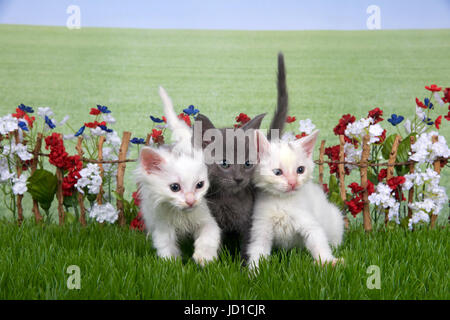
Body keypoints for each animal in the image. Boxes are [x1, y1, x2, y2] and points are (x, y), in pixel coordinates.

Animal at [136, 87, 222, 264]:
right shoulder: (162, 226)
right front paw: (171, 263)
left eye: (200, 185)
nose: (190, 201)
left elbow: (209, 237)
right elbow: (165, 246)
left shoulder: (207, 219)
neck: (181, 216)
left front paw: (204, 258)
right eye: (175, 187)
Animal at [193, 52, 288, 260]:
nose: (238, 179)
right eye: (224, 163)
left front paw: (243, 264)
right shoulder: (213, 218)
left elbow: (248, 244)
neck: (227, 200)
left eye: (247, 163)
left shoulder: (248, 222)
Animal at [246, 129, 344, 270]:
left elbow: (318, 242)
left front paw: (328, 261)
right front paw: (255, 271)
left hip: (335, 218)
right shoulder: (261, 227)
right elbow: (258, 249)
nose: (293, 183)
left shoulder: (309, 222)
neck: (283, 202)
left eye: (300, 170)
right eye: (277, 172)